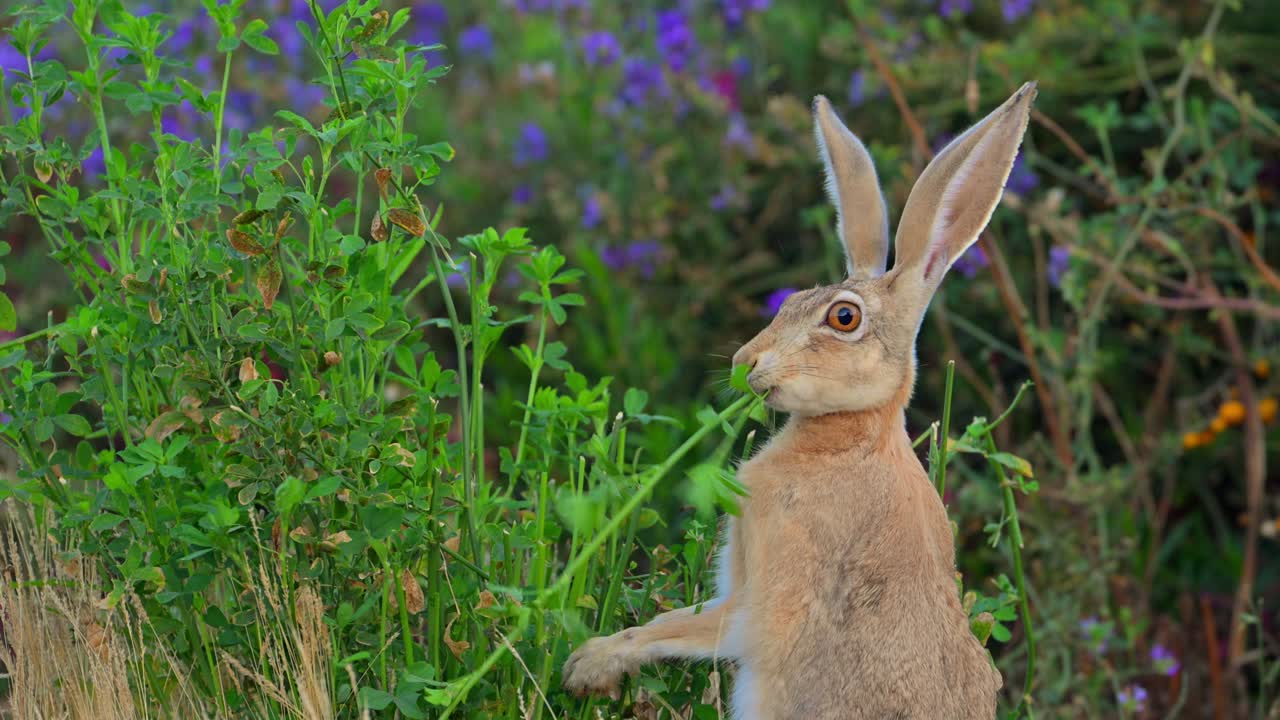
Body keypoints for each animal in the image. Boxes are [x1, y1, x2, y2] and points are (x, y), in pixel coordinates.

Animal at [562, 81, 1037, 719]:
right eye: (790, 301)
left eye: (844, 318)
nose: (744, 363)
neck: (850, 437)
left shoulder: (770, 590)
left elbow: (691, 628)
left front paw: (590, 663)